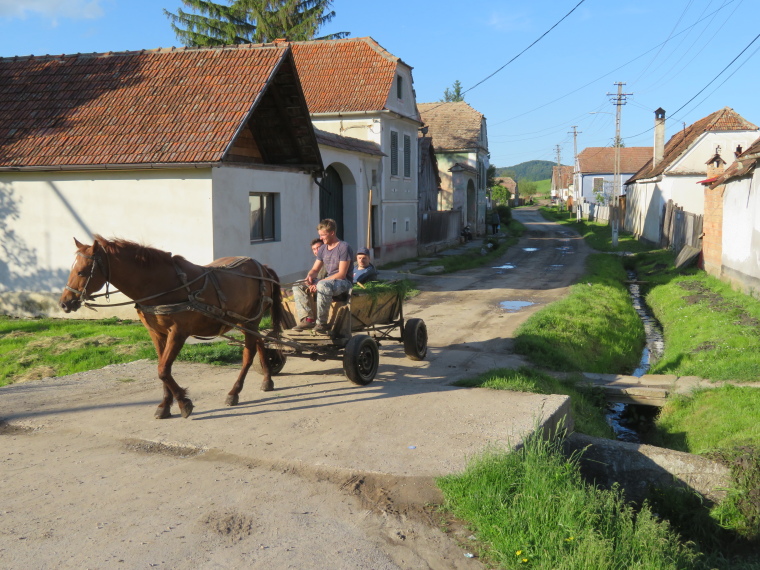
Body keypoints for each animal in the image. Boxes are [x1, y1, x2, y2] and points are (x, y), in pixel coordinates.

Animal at [59, 234, 284, 418]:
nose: (64, 303)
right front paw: (165, 406)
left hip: (251, 320)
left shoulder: (178, 333)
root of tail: (262, 266)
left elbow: (163, 370)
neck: (162, 284)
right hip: (246, 321)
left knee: (248, 354)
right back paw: (267, 379)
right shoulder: (156, 333)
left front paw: (184, 403)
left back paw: (234, 392)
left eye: (81, 272)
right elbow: (162, 368)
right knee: (261, 344)